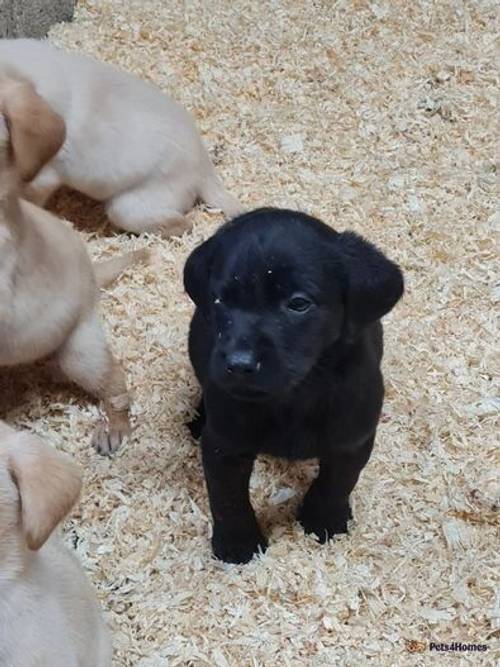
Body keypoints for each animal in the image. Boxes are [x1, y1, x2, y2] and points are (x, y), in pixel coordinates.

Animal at [184, 209, 402, 564]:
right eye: (220, 299)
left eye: (298, 304)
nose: (239, 364)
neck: (295, 395)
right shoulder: (224, 445)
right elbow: (227, 497)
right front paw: (237, 543)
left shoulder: (352, 440)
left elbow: (337, 483)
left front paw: (324, 520)